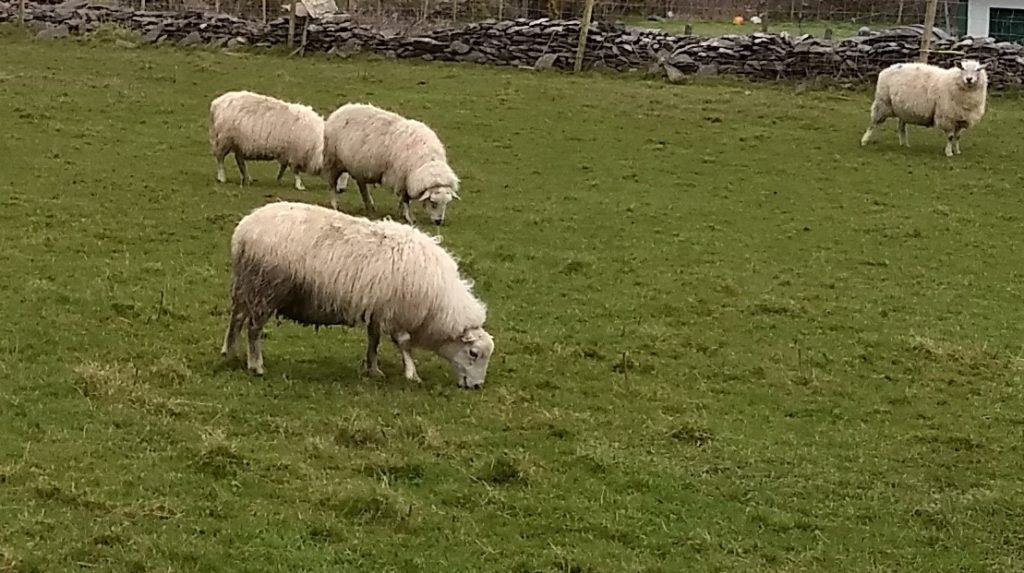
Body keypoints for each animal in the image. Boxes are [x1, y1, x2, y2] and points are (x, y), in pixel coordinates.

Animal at [222, 201, 497, 388]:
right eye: (473, 353)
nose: (476, 386)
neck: (439, 305)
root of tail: (243, 232)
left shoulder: (377, 309)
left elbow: (373, 340)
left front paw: (373, 369)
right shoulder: (395, 312)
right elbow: (404, 344)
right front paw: (412, 374)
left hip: (245, 286)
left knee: (236, 319)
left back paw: (229, 353)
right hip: (265, 289)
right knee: (254, 329)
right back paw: (256, 365)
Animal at [321, 102, 462, 226]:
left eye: (447, 203)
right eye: (433, 203)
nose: (439, 222)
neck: (426, 161)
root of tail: (341, 109)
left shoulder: (405, 180)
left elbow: (403, 199)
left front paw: (401, 213)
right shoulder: (401, 178)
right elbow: (405, 199)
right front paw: (408, 217)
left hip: (358, 166)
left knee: (362, 186)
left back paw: (369, 205)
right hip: (333, 161)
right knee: (332, 184)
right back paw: (335, 205)